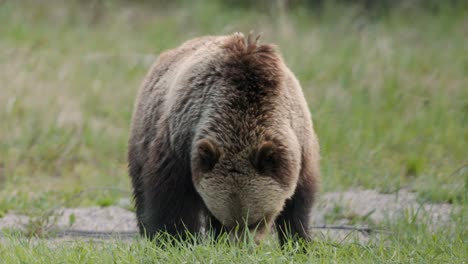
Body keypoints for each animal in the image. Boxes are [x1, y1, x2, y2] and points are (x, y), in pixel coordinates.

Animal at [127, 33, 318, 245]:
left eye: (255, 221)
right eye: (228, 221)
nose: (242, 246)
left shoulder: (300, 147)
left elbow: (297, 205)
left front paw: (298, 241)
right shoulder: (180, 142)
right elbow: (170, 198)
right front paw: (175, 239)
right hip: (144, 131)